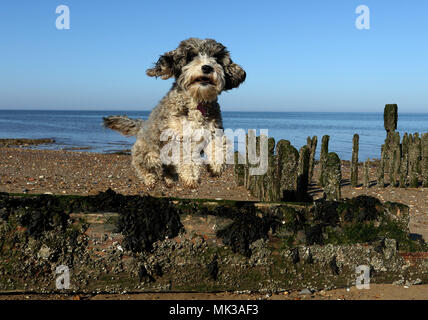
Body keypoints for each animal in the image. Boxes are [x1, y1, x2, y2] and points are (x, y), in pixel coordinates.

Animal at [103, 37, 247, 188]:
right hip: (149, 153)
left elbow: (220, 146)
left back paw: (169, 179)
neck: (197, 102)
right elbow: (187, 157)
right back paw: (149, 179)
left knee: (167, 169)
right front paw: (191, 176)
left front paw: (216, 166)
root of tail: (141, 126)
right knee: (141, 165)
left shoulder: (213, 130)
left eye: (216, 58)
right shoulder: (179, 137)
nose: (207, 67)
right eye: (191, 56)